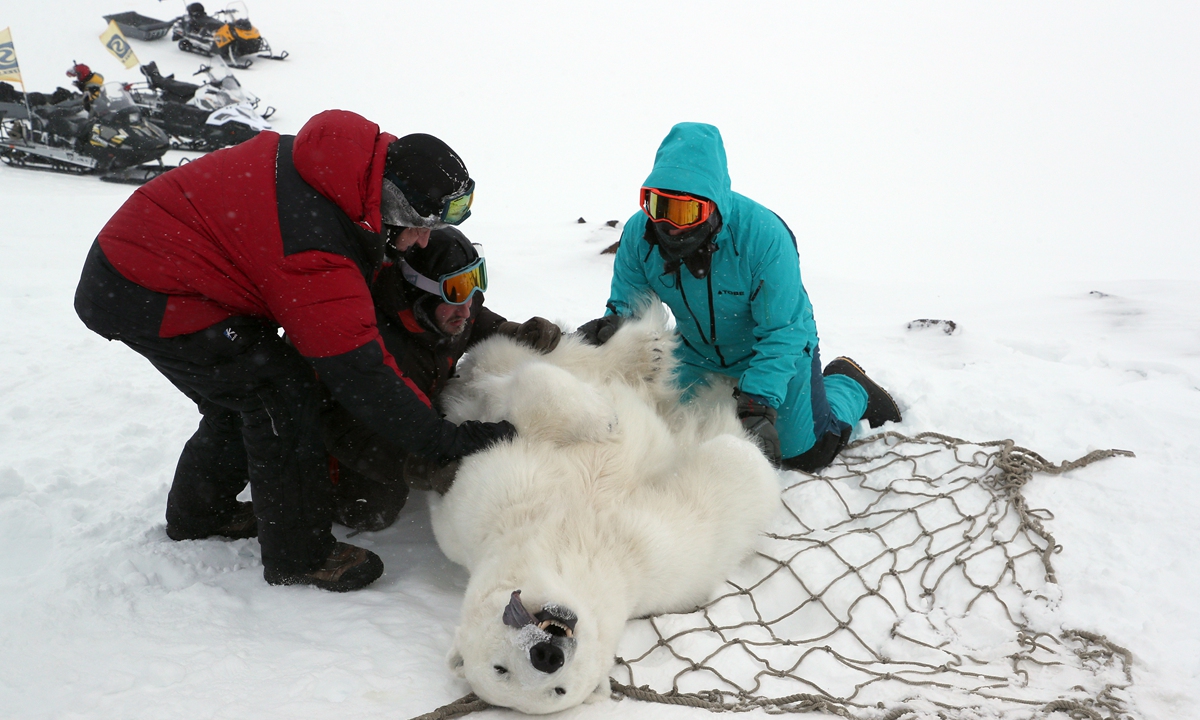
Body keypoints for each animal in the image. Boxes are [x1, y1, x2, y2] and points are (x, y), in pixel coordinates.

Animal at [428, 308, 781, 714]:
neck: (566, 542)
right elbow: (722, 494)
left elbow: (531, 398)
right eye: (500, 670)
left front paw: (602, 419)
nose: (546, 656)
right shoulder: (649, 565)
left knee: (530, 355)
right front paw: (738, 446)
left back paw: (645, 353)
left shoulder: (492, 492)